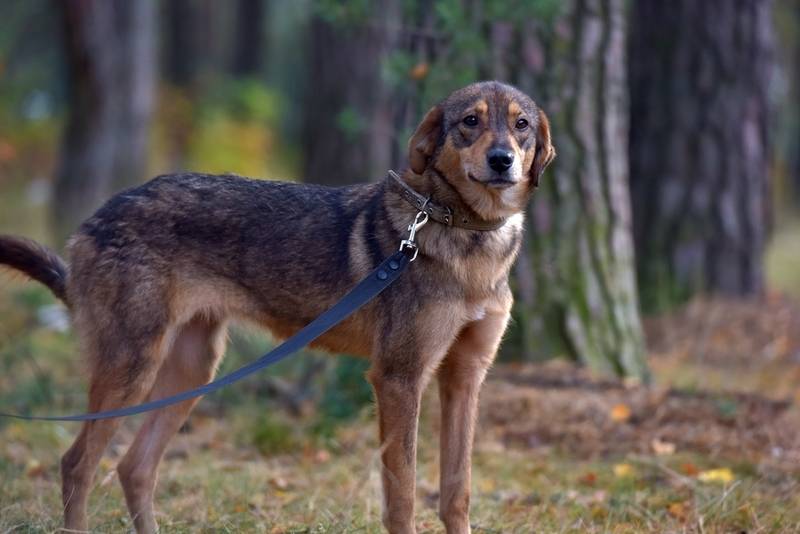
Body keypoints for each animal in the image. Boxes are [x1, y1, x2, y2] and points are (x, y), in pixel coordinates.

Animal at [0, 80, 552, 534]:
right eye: (470, 121)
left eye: (521, 125)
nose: (502, 159)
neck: (467, 237)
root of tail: (93, 220)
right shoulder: (399, 377)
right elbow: (404, 494)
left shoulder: (464, 378)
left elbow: (457, 492)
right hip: (132, 369)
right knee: (77, 464)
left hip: (191, 372)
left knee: (133, 468)